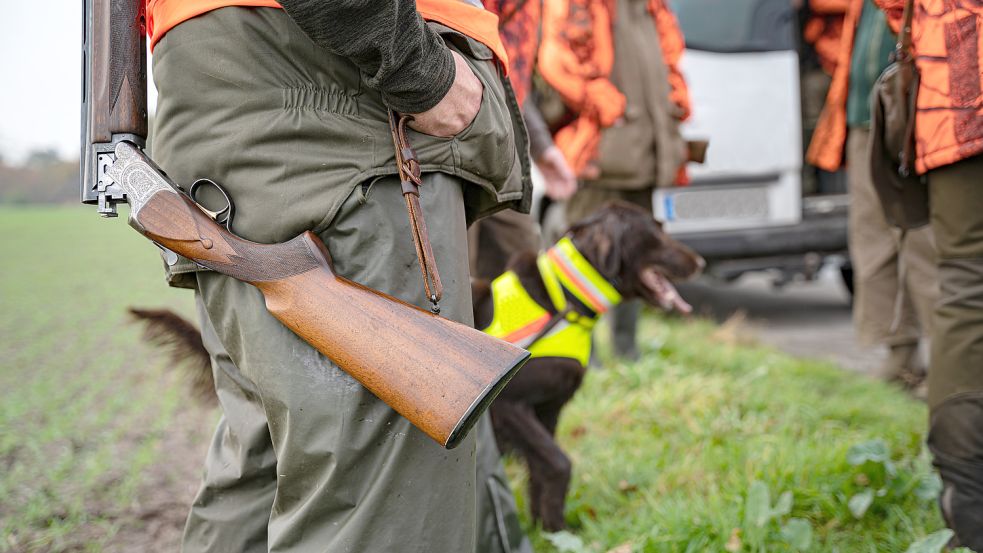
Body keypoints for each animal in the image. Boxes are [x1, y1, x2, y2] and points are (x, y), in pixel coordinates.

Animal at [472, 201, 704, 528]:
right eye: (656, 231)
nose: (701, 262)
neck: (565, 299)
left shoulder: (549, 408)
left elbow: (540, 471)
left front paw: (546, 530)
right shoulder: (509, 404)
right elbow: (558, 463)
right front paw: (556, 526)